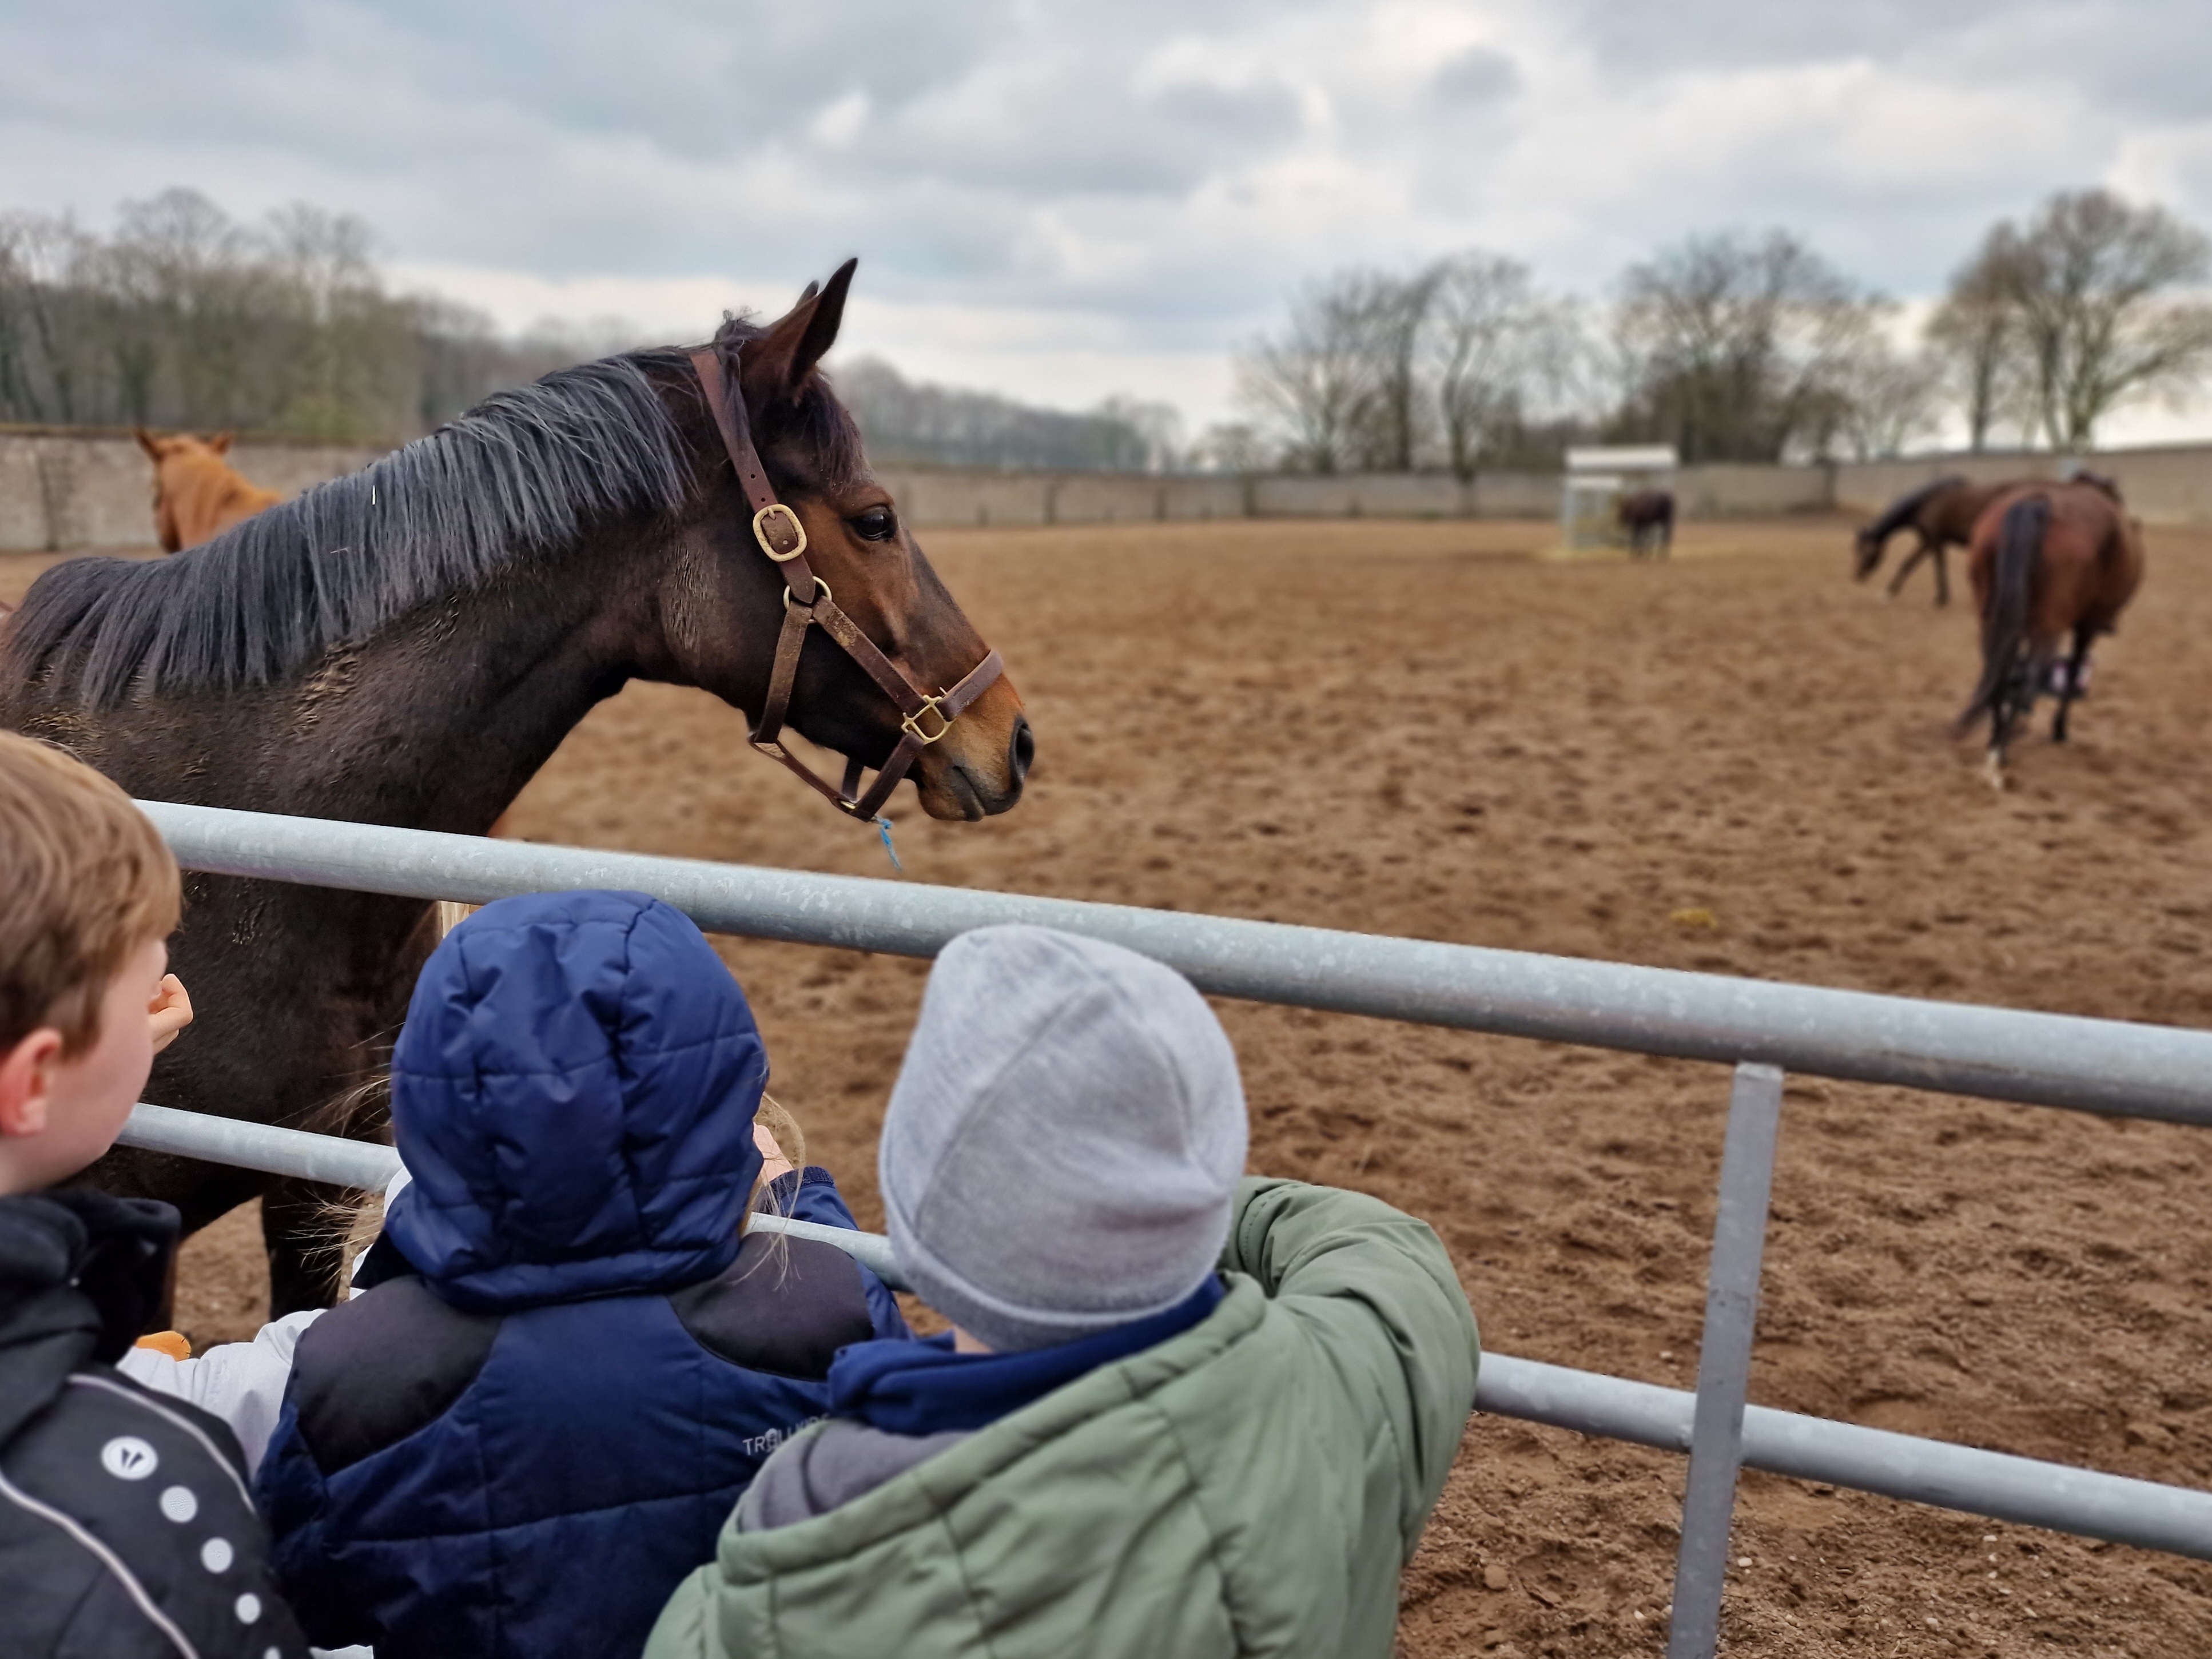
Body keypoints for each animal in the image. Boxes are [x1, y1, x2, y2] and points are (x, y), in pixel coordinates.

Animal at [1849, 473, 2026, 610]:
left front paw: (1940, 600)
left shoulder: (1935, 541)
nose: (1857, 576)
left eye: (1864, 552)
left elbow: (1940, 568)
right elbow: (1907, 564)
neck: (1927, 503)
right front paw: (1888, 593)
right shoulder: (1926, 541)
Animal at [1955, 471, 2141, 787]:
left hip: (1992, 620)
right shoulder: (2086, 627)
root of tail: (2034, 504)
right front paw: (2059, 730)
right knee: (2030, 674)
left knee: (1995, 672)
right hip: (2051, 628)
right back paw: (2000, 752)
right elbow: (2073, 669)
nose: (2112, 627)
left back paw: (1995, 742)